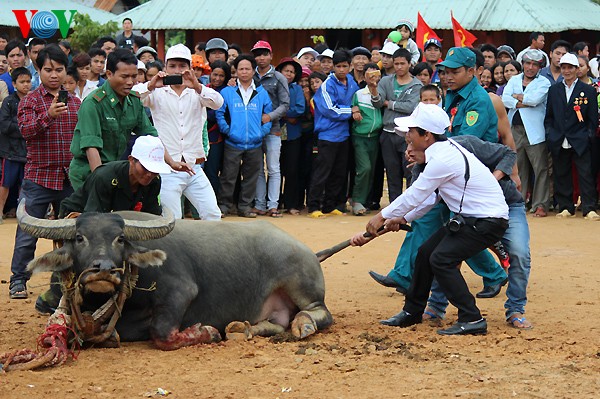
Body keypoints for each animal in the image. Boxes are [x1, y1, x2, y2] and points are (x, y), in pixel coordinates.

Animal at [18, 205, 336, 352]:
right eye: (80, 238)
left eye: (120, 238)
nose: (104, 269)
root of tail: (306, 250)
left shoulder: (181, 291)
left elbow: (162, 332)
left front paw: (205, 332)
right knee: (276, 322)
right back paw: (242, 328)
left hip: (301, 285)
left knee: (320, 312)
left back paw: (303, 324)